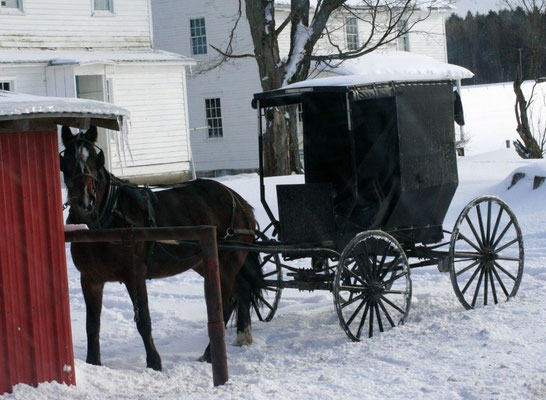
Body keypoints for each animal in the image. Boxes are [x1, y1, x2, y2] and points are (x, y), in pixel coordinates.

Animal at [59, 126, 264, 372]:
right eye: (66, 160)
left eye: (96, 159)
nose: (84, 199)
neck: (106, 221)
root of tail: (239, 200)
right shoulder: (90, 279)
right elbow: (92, 324)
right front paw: (94, 362)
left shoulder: (135, 274)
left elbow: (143, 320)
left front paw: (154, 362)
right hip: (207, 262)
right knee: (241, 290)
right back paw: (242, 336)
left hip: (227, 260)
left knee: (226, 302)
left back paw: (210, 353)